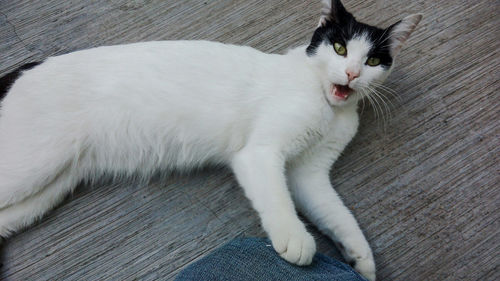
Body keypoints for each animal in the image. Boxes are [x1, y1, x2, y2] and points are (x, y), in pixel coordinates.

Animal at [0, 1, 420, 278]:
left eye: (372, 61)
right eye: (340, 48)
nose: (351, 74)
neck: (329, 107)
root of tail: (22, 69)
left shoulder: (309, 175)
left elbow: (337, 214)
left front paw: (359, 256)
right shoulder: (260, 154)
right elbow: (278, 200)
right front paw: (294, 239)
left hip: (47, 188)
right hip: (34, 166)